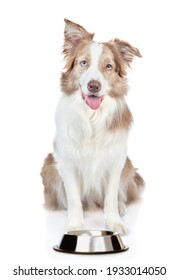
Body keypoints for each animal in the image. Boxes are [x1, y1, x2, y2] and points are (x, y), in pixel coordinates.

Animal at [40, 18, 144, 235]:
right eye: (83, 63)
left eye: (109, 66)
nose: (94, 86)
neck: (92, 117)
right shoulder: (67, 161)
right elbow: (73, 199)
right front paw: (74, 226)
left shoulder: (115, 160)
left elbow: (111, 197)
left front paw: (114, 223)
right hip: (48, 166)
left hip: (128, 166)